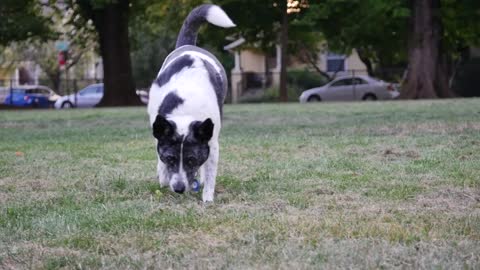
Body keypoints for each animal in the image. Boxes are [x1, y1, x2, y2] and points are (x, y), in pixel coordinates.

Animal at [147, 4, 235, 202]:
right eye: (170, 159)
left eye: (191, 160)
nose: (179, 189)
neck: (185, 110)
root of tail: (188, 46)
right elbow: (159, 155)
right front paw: (163, 176)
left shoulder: (212, 142)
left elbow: (210, 172)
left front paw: (207, 198)